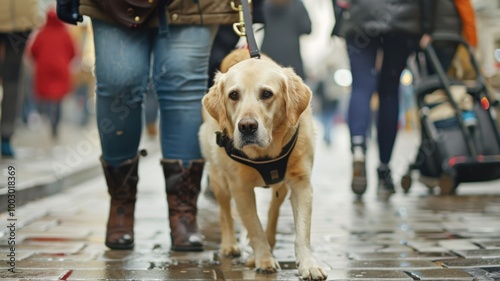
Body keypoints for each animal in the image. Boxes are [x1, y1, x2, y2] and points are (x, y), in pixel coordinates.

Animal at [199, 49, 328, 278]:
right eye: (233, 95)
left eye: (267, 94)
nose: (247, 126)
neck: (266, 152)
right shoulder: (240, 189)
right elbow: (254, 227)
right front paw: (264, 260)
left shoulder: (302, 184)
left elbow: (302, 231)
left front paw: (308, 265)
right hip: (218, 179)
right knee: (225, 211)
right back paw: (230, 245)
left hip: (281, 187)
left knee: (273, 211)